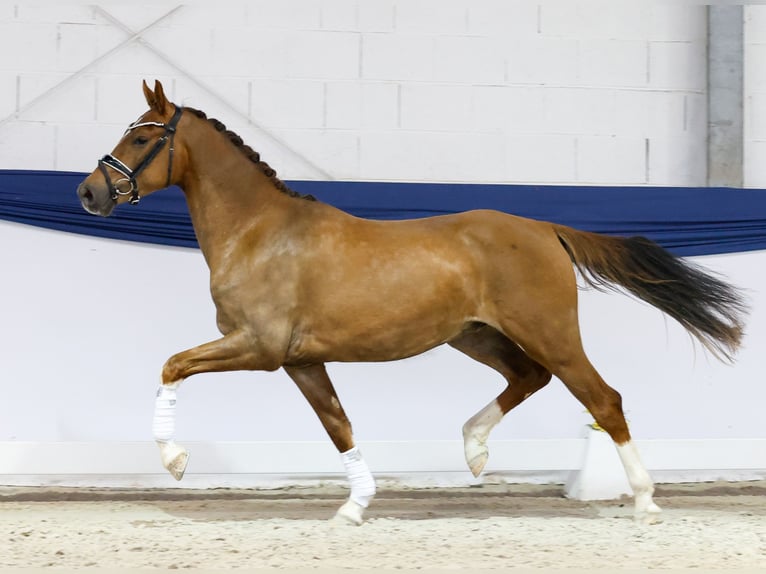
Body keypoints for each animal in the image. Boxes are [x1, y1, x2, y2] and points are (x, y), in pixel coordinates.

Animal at [77, 80, 746, 525]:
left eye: (142, 136)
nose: (89, 192)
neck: (259, 232)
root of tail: (544, 227)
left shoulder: (258, 348)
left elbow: (172, 365)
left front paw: (176, 461)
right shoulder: (300, 359)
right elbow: (338, 425)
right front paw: (354, 508)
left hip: (548, 331)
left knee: (602, 399)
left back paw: (644, 500)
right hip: (475, 334)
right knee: (528, 378)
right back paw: (474, 451)